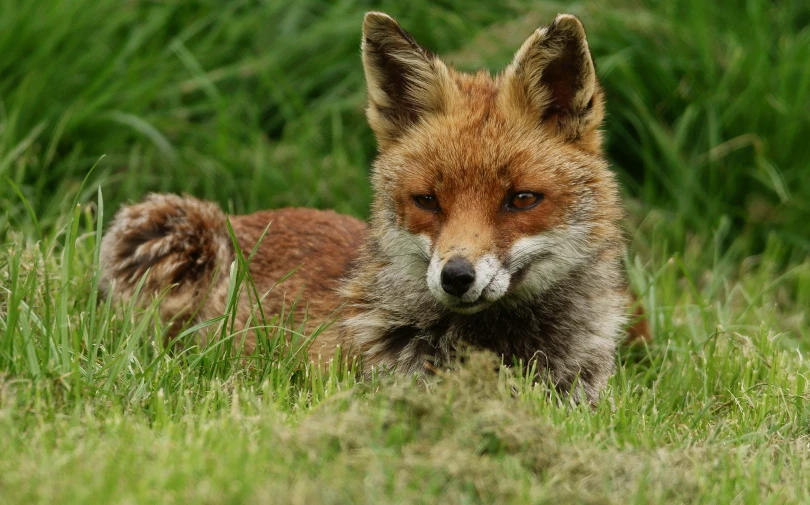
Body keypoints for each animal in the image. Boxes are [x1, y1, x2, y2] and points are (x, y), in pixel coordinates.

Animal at [101, 11, 648, 404]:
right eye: (427, 200)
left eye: (521, 199)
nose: (456, 276)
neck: (499, 351)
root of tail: (242, 218)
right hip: (167, 233)